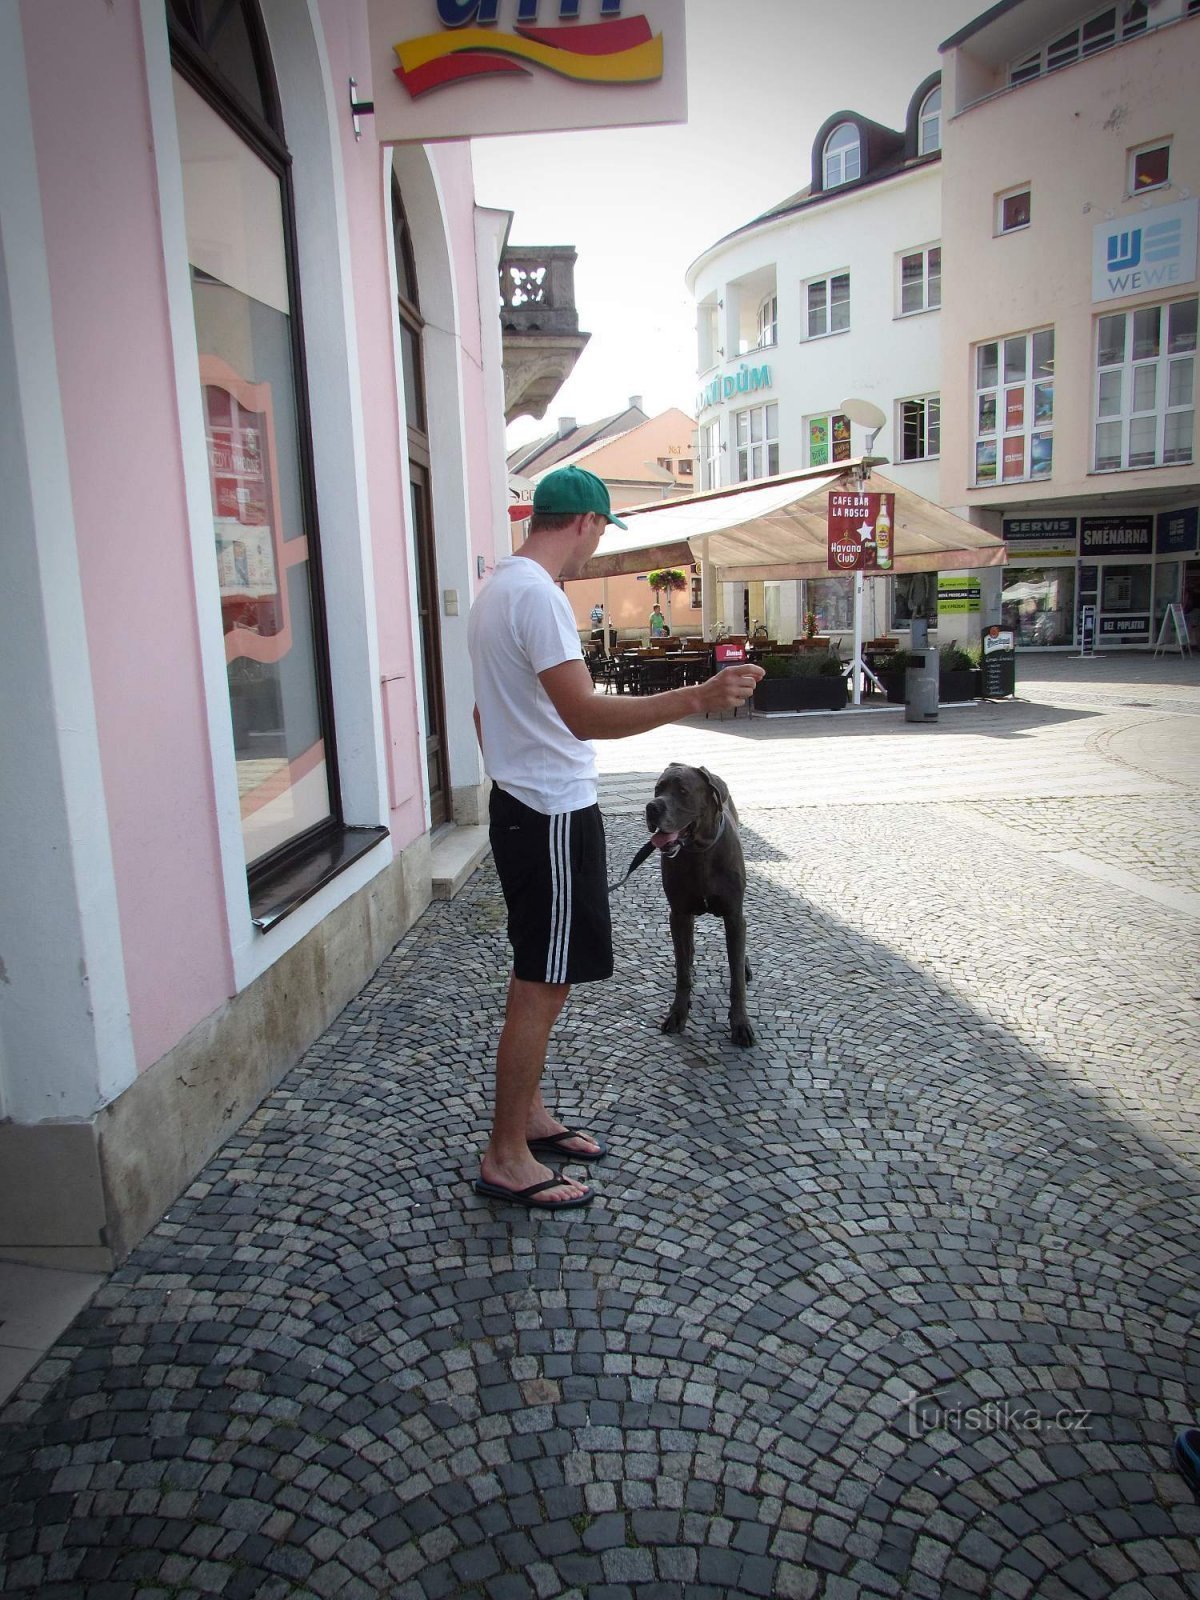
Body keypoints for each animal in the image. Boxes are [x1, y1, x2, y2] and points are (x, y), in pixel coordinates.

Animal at [649, 761, 752, 1049]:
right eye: (658, 789)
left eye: (683, 791)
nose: (652, 807)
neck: (700, 854)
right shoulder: (679, 913)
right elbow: (682, 972)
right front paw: (677, 1014)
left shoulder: (733, 916)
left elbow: (736, 978)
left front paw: (741, 1025)